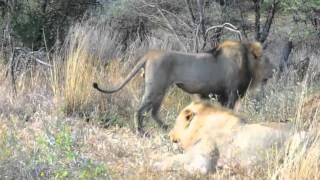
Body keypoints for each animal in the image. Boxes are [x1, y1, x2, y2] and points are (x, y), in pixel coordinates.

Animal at [94, 40, 274, 134]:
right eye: (267, 61)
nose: (274, 71)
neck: (249, 63)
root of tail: (149, 54)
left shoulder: (221, 95)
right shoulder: (230, 94)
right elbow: (230, 113)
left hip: (161, 90)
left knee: (153, 112)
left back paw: (166, 128)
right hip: (155, 88)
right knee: (139, 110)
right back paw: (141, 132)